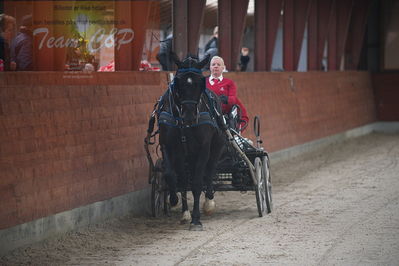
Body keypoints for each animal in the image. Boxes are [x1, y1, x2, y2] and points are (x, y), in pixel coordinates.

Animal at [158, 53, 227, 230]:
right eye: (179, 82)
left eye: (199, 83)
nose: (189, 115)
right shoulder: (169, 146)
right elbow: (172, 175)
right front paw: (177, 204)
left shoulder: (203, 148)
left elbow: (196, 183)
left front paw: (196, 219)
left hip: (216, 147)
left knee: (209, 172)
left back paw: (209, 201)